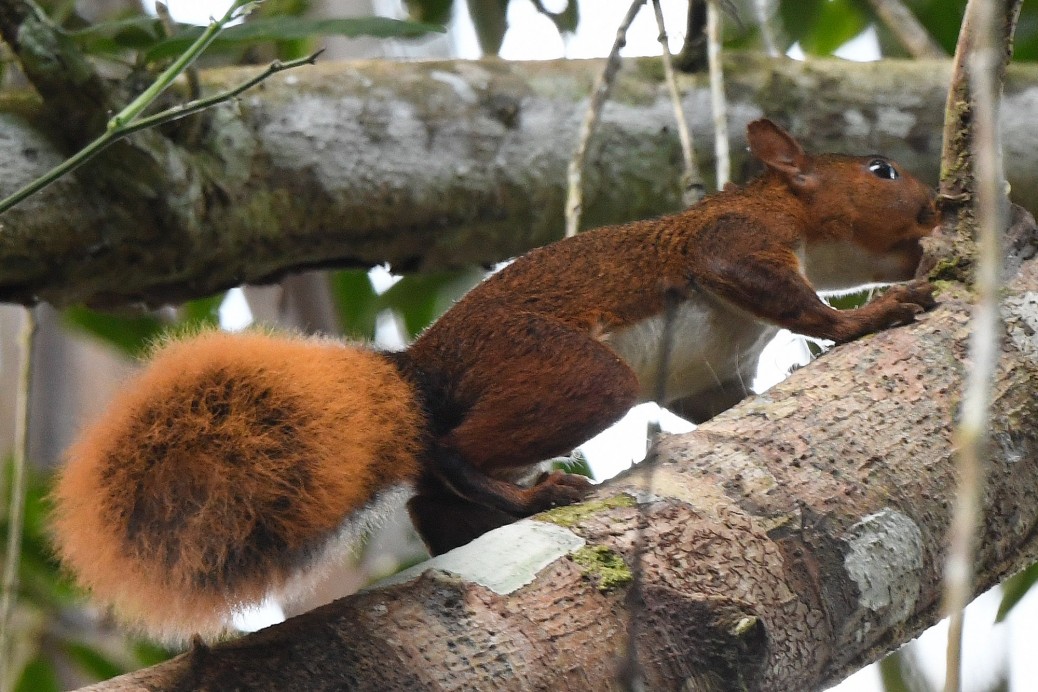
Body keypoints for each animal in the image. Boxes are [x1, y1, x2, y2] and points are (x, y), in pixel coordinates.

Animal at [50, 120, 942, 643]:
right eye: (881, 170)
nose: (942, 208)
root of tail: (419, 374)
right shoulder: (732, 243)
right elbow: (789, 297)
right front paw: (866, 318)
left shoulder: (711, 377)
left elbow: (719, 403)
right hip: (568, 370)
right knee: (450, 454)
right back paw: (529, 497)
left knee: (426, 495)